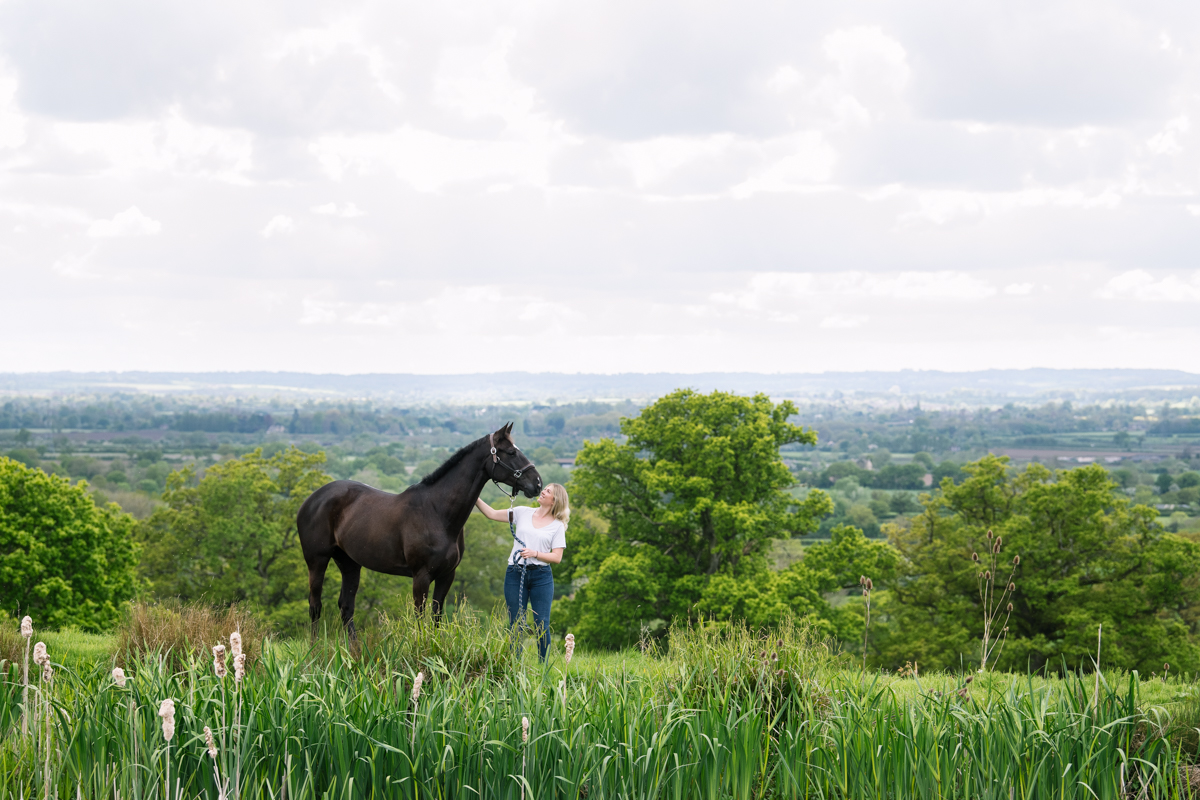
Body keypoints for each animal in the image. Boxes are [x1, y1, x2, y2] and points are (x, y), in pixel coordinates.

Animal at [297, 422, 542, 642]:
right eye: (511, 452)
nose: (537, 484)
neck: (437, 512)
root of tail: (311, 500)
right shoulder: (421, 576)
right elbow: (419, 616)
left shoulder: (446, 575)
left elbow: (436, 615)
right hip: (317, 560)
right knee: (315, 604)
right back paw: (314, 647)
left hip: (349, 563)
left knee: (346, 605)